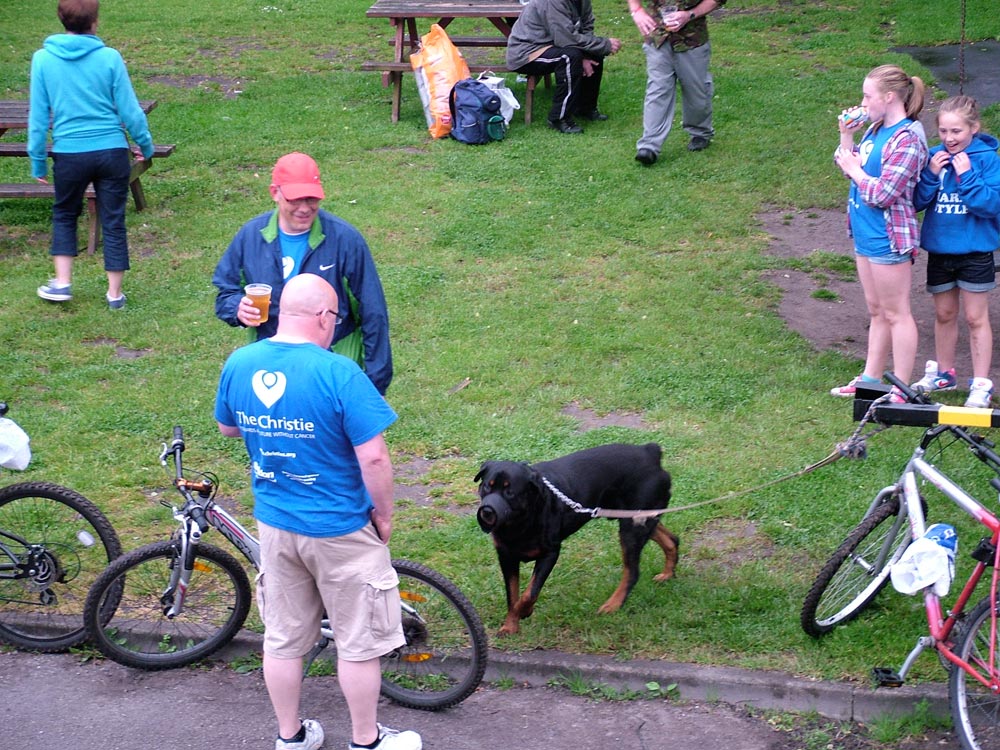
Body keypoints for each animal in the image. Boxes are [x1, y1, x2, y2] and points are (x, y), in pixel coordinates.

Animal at [470, 444, 676, 636]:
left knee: (632, 571)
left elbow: (529, 593)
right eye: (487, 486)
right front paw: (510, 626)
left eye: (510, 492)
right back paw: (667, 574)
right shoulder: (506, 557)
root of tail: (650, 452)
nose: (487, 511)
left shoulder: (550, 553)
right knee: (672, 540)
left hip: (632, 527)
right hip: (633, 517)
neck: (520, 521)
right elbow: (512, 595)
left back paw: (613, 605)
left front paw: (524, 611)